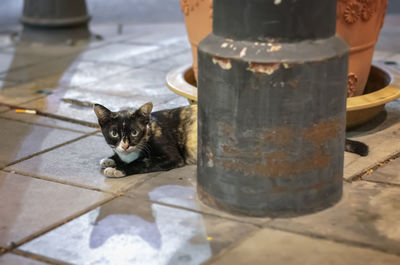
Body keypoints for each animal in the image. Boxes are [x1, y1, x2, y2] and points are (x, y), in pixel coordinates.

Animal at [94, 102, 368, 176]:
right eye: (114, 133)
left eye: (134, 132)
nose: (125, 144)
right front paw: (110, 159)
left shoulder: (169, 156)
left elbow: (142, 163)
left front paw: (119, 169)